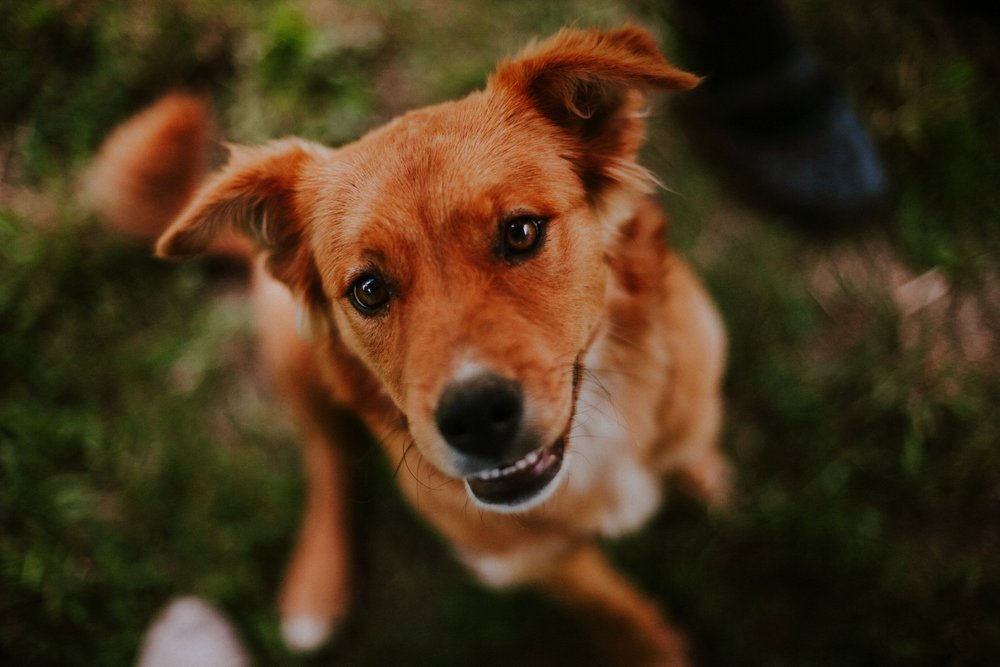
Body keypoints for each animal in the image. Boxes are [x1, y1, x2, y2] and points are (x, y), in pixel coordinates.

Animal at [90, 26, 732, 667]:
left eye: (522, 232)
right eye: (369, 289)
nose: (477, 417)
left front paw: (704, 471)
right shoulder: (529, 561)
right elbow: (617, 611)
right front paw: (655, 649)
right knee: (326, 456)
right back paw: (314, 591)